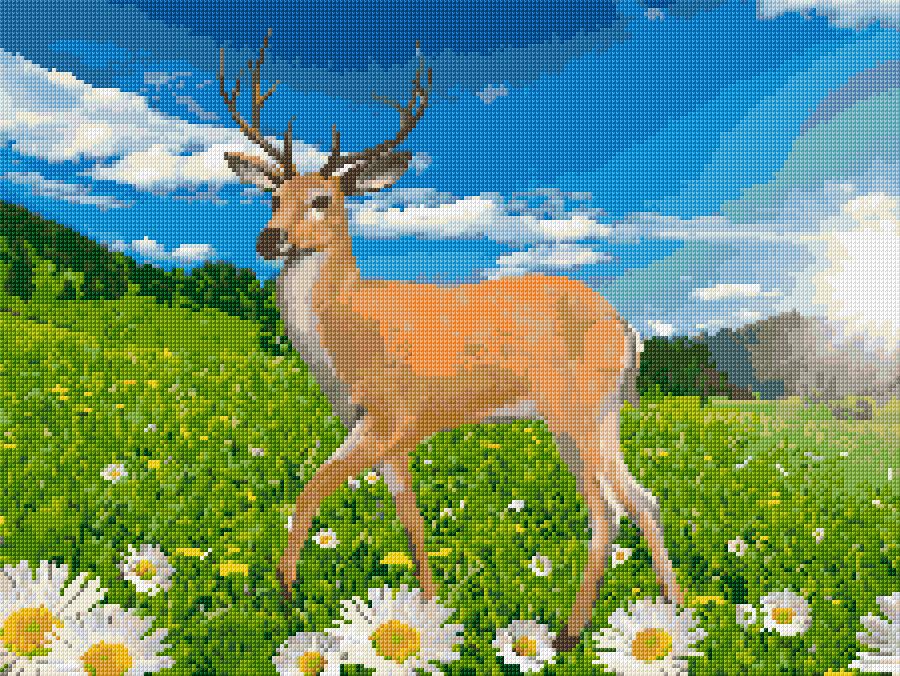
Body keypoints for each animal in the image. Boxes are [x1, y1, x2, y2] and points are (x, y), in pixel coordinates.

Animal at [219, 31, 684, 651]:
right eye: (273, 198)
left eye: (322, 200)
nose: (269, 240)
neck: (345, 333)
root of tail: (628, 330)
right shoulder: (380, 430)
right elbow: (411, 518)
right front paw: (430, 606)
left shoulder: (391, 414)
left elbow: (310, 490)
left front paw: (288, 595)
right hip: (595, 416)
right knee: (643, 501)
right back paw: (668, 614)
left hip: (576, 409)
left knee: (608, 510)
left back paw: (571, 634)